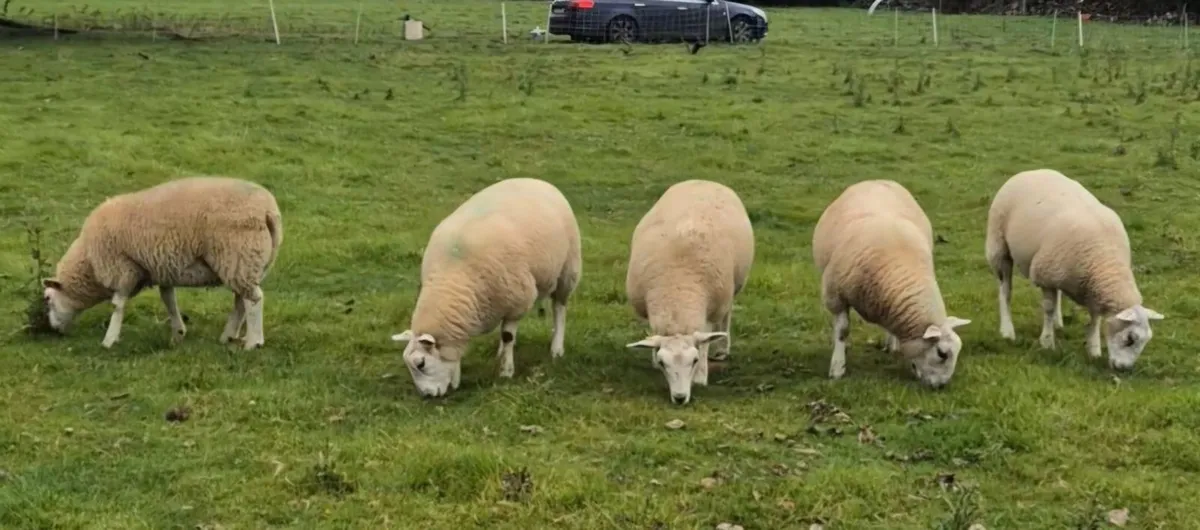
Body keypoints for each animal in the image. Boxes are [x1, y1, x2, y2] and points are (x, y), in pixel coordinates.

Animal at [41, 176, 284, 350]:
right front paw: (178, 332)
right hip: (245, 264)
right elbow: (168, 299)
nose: (52, 329)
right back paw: (228, 336)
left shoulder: (122, 269)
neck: (89, 261)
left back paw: (253, 342)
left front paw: (109, 340)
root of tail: (267, 210)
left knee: (254, 300)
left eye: (48, 299)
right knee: (241, 301)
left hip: (238, 256)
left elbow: (117, 305)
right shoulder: (160, 268)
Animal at [390, 178, 582, 398]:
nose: (428, 396)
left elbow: (508, 336)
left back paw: (556, 348)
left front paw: (506, 371)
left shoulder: (517, 302)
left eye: (421, 363)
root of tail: (536, 180)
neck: (454, 275)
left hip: (568, 270)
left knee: (559, 309)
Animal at [624, 179, 755, 405]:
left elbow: (704, 342)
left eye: (693, 361)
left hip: (730, 290)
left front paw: (701, 376)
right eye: (663, 363)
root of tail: (703, 180)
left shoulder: (710, 311)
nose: (679, 398)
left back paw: (722, 348)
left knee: (726, 317)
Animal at [812, 179, 971, 389]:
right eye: (942, 353)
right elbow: (842, 331)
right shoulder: (836, 296)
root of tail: (876, 180)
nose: (941, 386)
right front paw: (837, 368)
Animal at [985, 169, 1164, 370]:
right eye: (1130, 338)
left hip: (1056, 268)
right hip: (999, 247)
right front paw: (1047, 342)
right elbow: (1048, 308)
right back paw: (1007, 330)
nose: (1123, 369)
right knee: (1005, 290)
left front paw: (1094, 349)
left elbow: (1095, 318)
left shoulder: (1090, 288)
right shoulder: (1045, 275)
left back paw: (1058, 323)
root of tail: (1032, 171)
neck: (1105, 261)